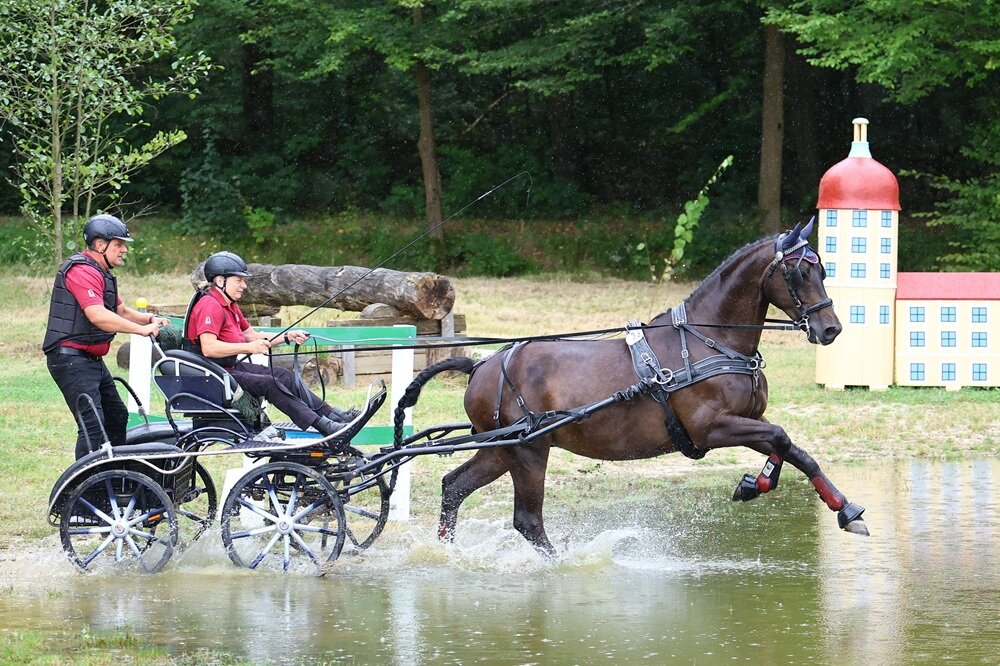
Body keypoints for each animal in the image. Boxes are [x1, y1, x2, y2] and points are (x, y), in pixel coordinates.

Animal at [394, 219, 868, 555]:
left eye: (822, 269)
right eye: (798, 271)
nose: (830, 329)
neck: (709, 339)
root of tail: (482, 365)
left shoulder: (746, 420)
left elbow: (793, 450)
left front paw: (833, 506)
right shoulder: (712, 428)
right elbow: (782, 439)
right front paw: (768, 487)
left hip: (500, 449)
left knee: (454, 486)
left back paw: (446, 554)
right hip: (528, 451)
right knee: (527, 520)